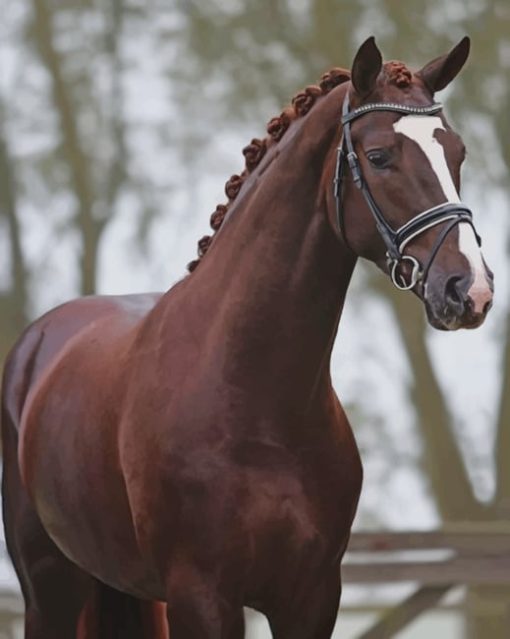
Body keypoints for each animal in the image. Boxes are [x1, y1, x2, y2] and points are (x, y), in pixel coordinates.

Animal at [0, 37, 494, 636]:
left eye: (457, 153)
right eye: (380, 157)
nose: (470, 290)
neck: (252, 396)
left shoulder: (312, 598)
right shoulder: (203, 598)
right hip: (50, 589)